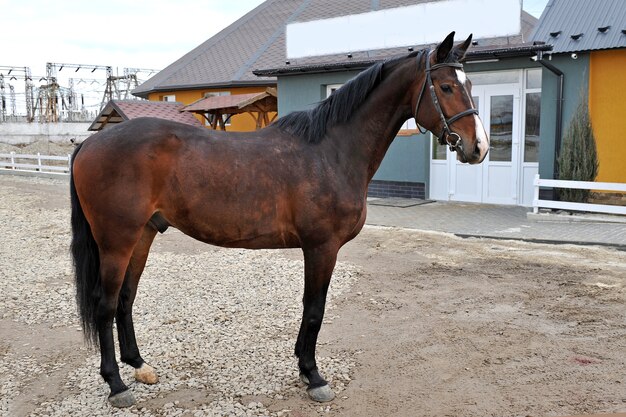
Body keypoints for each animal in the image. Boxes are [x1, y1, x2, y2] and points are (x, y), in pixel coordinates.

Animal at [69, 31, 488, 406]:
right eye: (446, 87)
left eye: (469, 83)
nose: (479, 148)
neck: (331, 151)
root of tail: (89, 143)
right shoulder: (322, 247)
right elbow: (315, 308)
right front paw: (314, 376)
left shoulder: (317, 249)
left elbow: (311, 307)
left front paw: (304, 366)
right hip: (117, 240)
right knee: (105, 304)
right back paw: (116, 385)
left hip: (142, 234)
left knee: (126, 298)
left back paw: (139, 366)